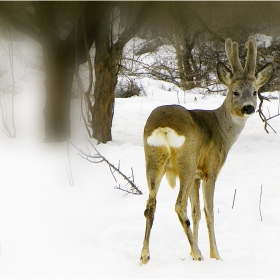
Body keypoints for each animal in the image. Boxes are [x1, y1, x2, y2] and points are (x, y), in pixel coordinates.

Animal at [141, 36, 272, 264]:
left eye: (255, 92)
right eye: (235, 91)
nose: (249, 107)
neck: (221, 129)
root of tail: (164, 127)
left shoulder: (196, 176)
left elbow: (196, 213)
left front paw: (192, 253)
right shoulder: (209, 170)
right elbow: (208, 211)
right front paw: (215, 255)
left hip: (153, 159)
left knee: (150, 206)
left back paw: (145, 256)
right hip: (186, 160)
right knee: (178, 205)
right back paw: (199, 254)